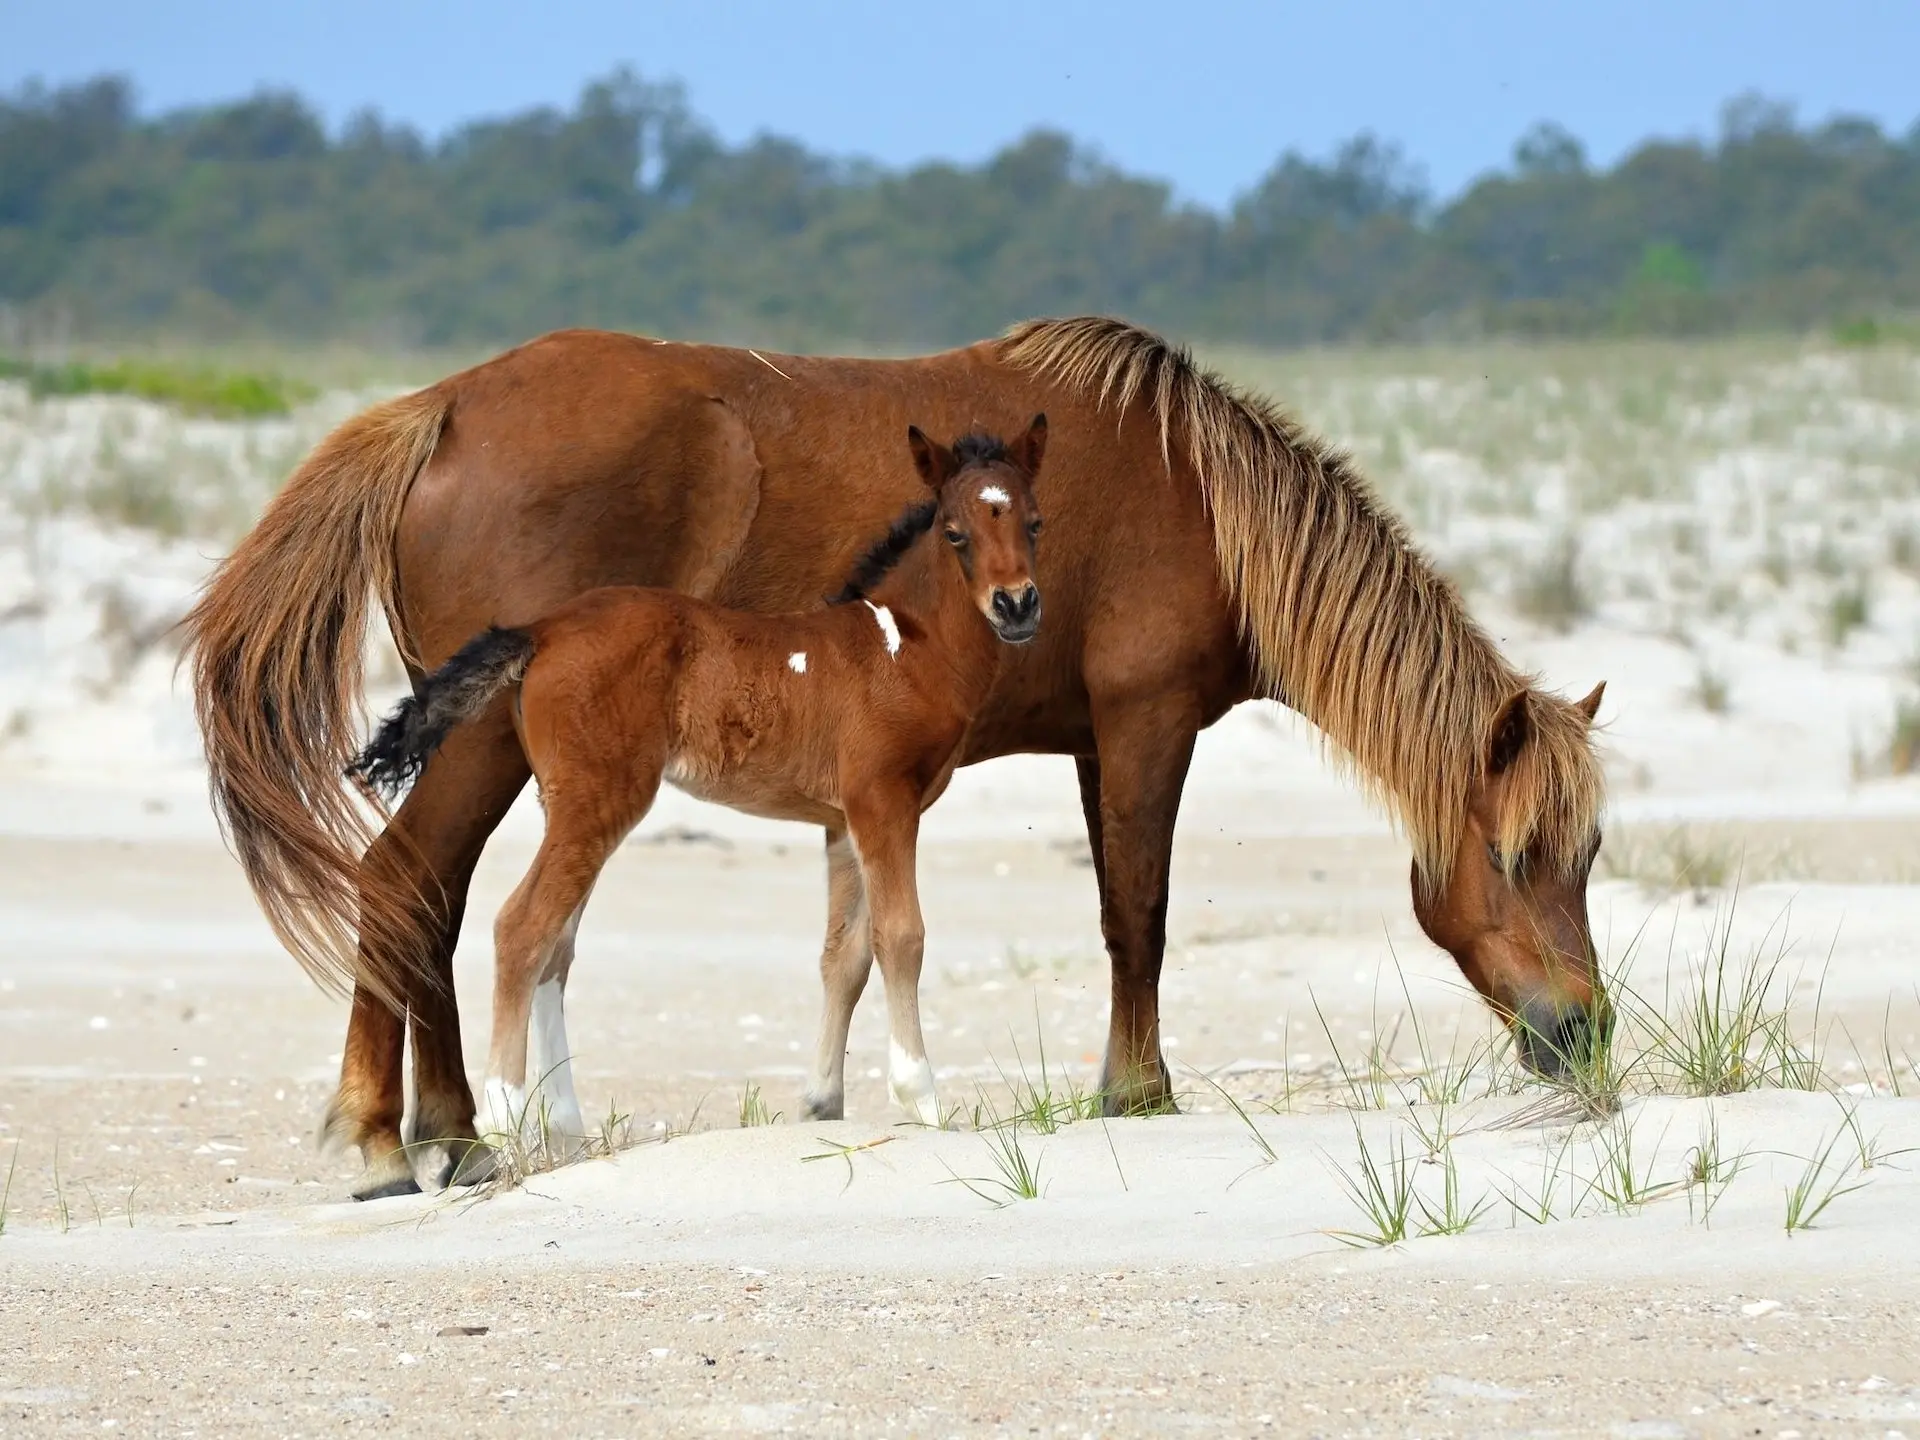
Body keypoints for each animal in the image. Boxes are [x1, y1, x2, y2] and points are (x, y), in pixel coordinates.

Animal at [347, 420, 1052, 1159]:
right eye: (954, 532)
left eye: (1035, 523)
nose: (1017, 605)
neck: (901, 647)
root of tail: (542, 630)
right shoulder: (884, 800)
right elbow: (902, 936)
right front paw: (925, 1102)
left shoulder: (844, 819)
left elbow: (846, 952)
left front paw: (826, 1103)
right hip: (601, 801)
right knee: (523, 928)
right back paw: (509, 1117)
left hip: (570, 806)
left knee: (555, 948)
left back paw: (564, 1127)